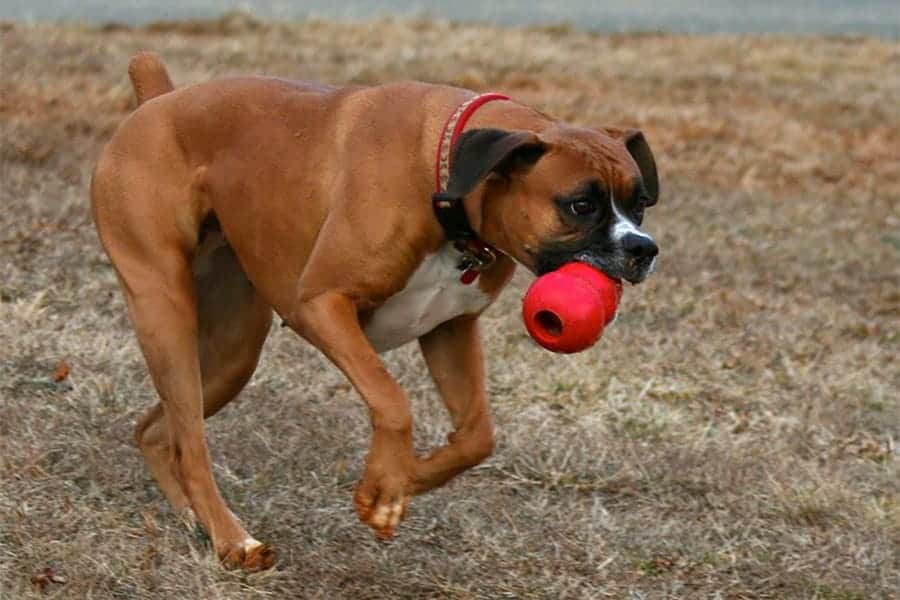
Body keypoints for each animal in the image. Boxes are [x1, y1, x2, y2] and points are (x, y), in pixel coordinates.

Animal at [91, 52, 656, 572]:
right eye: (580, 205)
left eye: (640, 204)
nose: (643, 248)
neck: (445, 172)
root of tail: (159, 101)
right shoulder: (322, 305)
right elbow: (393, 399)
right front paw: (386, 485)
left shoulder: (451, 329)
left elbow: (478, 436)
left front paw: (400, 483)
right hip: (165, 311)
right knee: (190, 441)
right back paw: (233, 539)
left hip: (232, 355)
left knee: (157, 431)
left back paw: (198, 522)